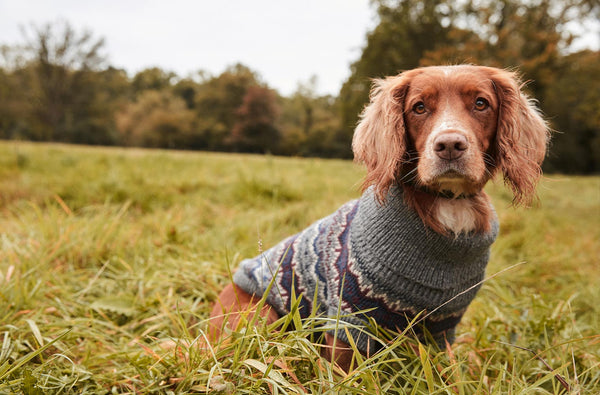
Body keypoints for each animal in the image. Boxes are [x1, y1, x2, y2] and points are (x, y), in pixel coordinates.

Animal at [206, 64, 548, 372]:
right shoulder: (349, 320)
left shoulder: (442, 329)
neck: (447, 203)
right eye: (419, 107)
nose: (449, 145)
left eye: (480, 103)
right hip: (262, 317)